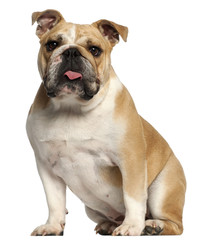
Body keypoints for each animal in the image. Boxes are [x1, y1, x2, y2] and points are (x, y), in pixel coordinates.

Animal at [26, 9, 186, 236]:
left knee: (175, 224)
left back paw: (153, 225)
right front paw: (53, 226)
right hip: (91, 208)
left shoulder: (130, 160)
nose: (72, 52)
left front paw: (131, 226)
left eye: (95, 50)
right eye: (52, 45)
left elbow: (132, 197)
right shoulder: (46, 165)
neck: (71, 107)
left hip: (162, 189)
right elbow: (54, 200)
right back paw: (109, 225)